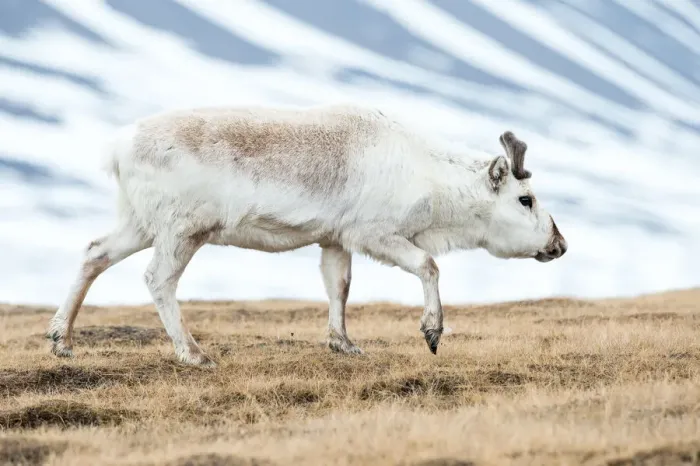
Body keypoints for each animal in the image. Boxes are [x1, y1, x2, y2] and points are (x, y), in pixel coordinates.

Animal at [46, 104, 567, 367]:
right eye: (526, 199)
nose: (559, 244)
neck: (432, 182)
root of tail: (117, 148)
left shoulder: (335, 239)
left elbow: (339, 286)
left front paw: (344, 344)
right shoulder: (375, 233)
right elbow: (429, 264)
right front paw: (432, 332)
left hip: (139, 223)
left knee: (94, 252)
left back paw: (61, 340)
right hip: (182, 229)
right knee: (158, 279)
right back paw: (194, 354)